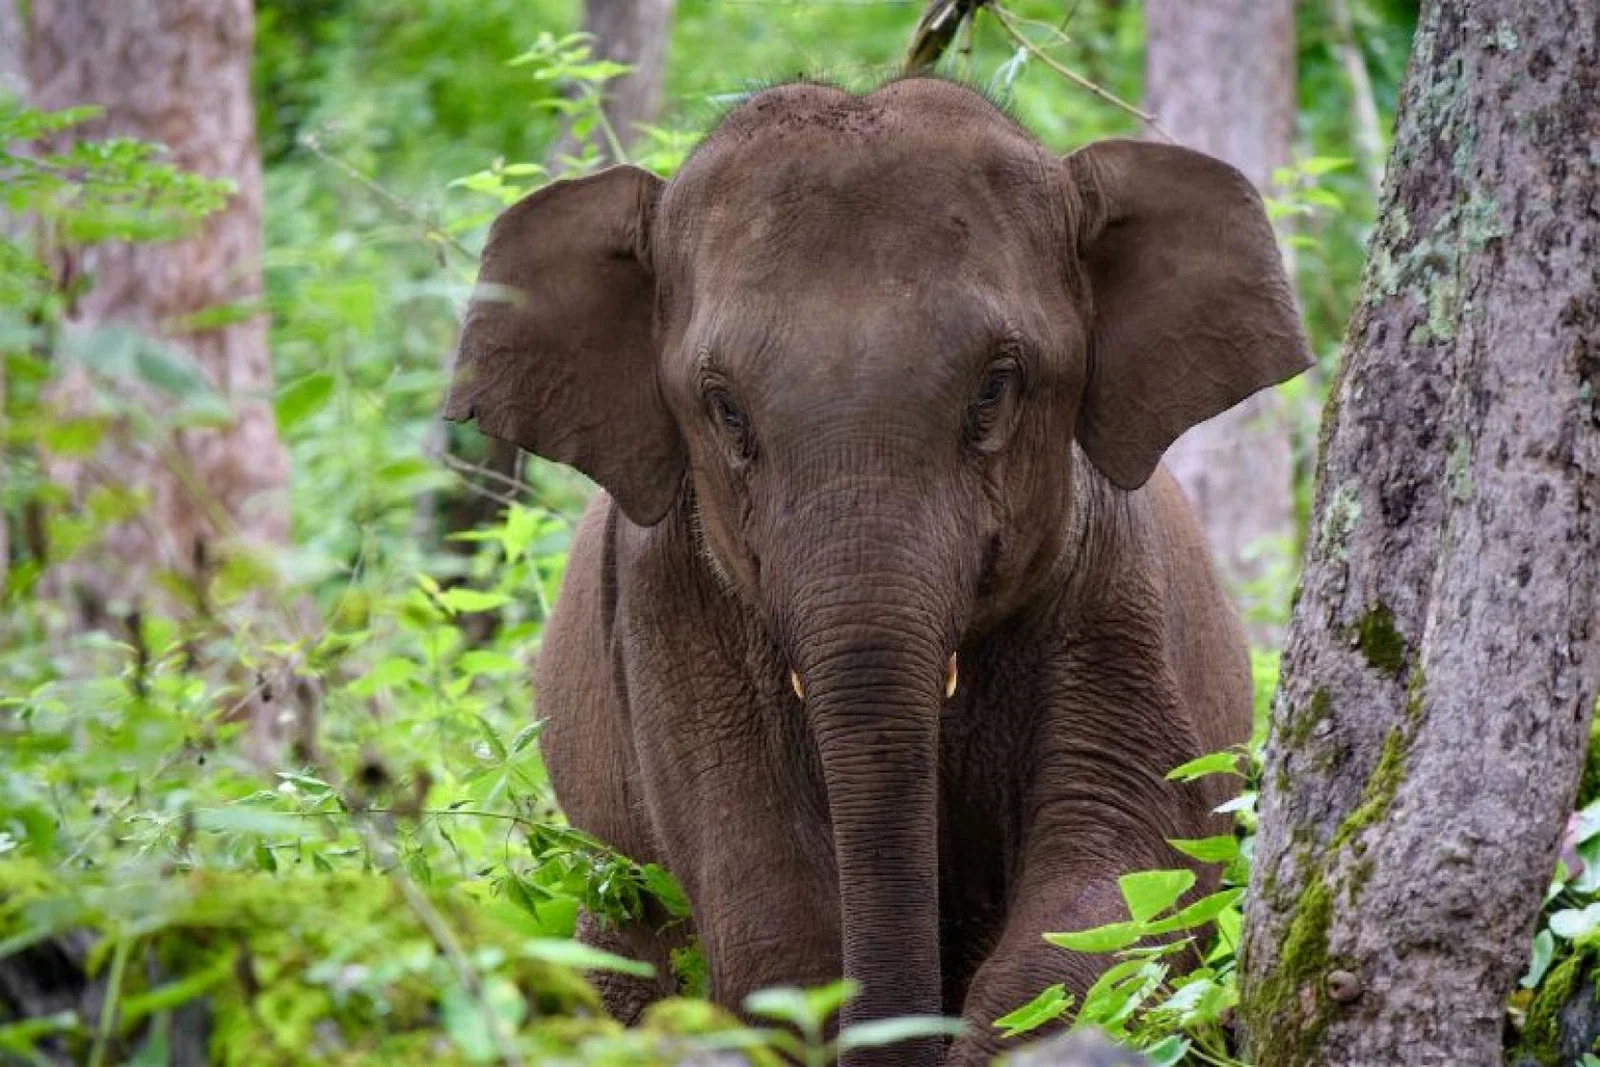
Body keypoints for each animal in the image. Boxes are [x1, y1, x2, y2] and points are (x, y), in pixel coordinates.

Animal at [445, 77, 1311, 1066]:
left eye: (996, 385)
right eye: (724, 408)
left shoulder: (1115, 587)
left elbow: (1132, 855)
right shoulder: (665, 594)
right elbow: (770, 909)